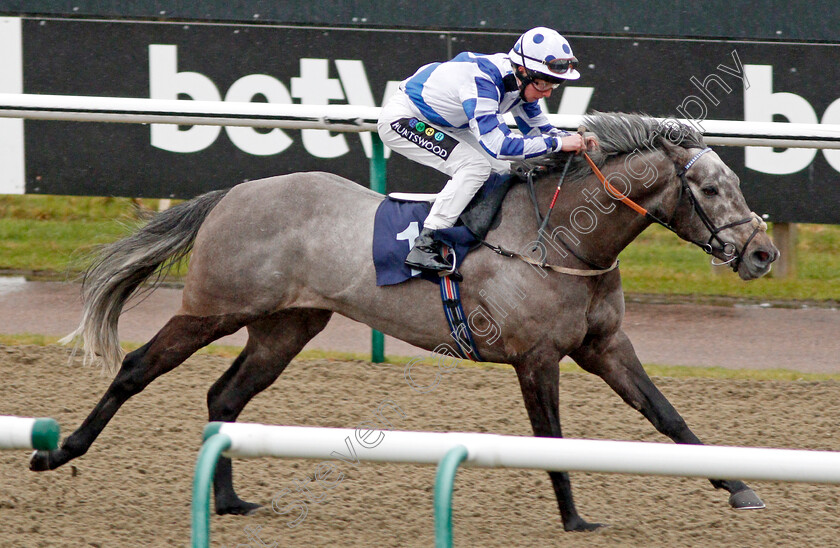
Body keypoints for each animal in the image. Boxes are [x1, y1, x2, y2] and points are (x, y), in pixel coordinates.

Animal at [32, 112, 780, 532]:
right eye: (709, 188)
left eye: (737, 183)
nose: (763, 253)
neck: (561, 239)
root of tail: (235, 193)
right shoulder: (536, 359)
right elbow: (553, 442)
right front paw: (574, 519)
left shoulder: (605, 345)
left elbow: (668, 416)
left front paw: (741, 489)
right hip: (215, 307)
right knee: (138, 369)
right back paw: (58, 451)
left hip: (286, 325)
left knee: (224, 397)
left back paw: (230, 501)